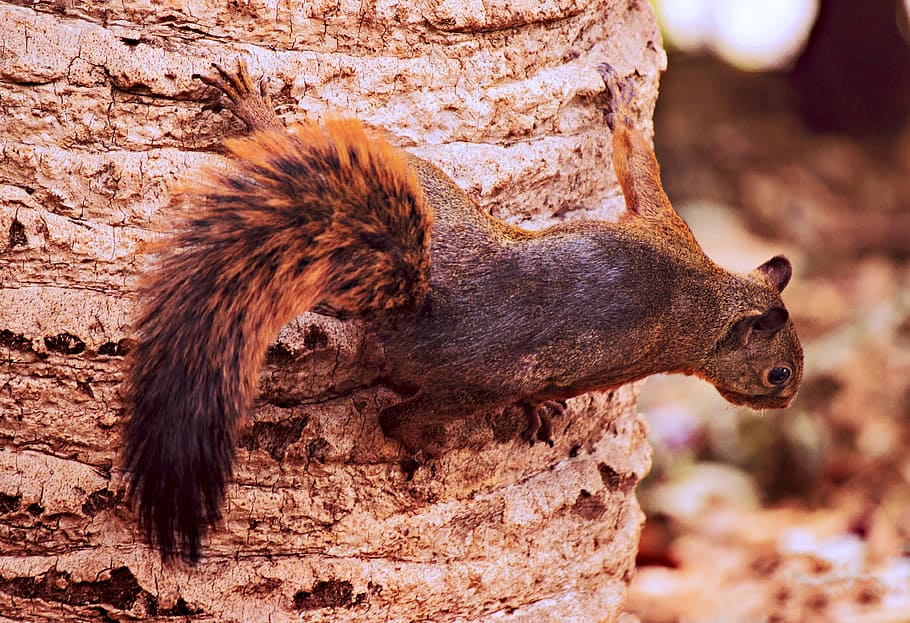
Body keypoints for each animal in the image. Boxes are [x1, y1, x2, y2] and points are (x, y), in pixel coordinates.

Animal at [122, 60, 803, 562]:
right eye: (781, 374)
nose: (786, 401)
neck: (710, 298)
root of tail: (425, 299)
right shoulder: (665, 231)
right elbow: (637, 159)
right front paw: (624, 100)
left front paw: (538, 411)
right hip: (458, 316)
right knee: (397, 418)